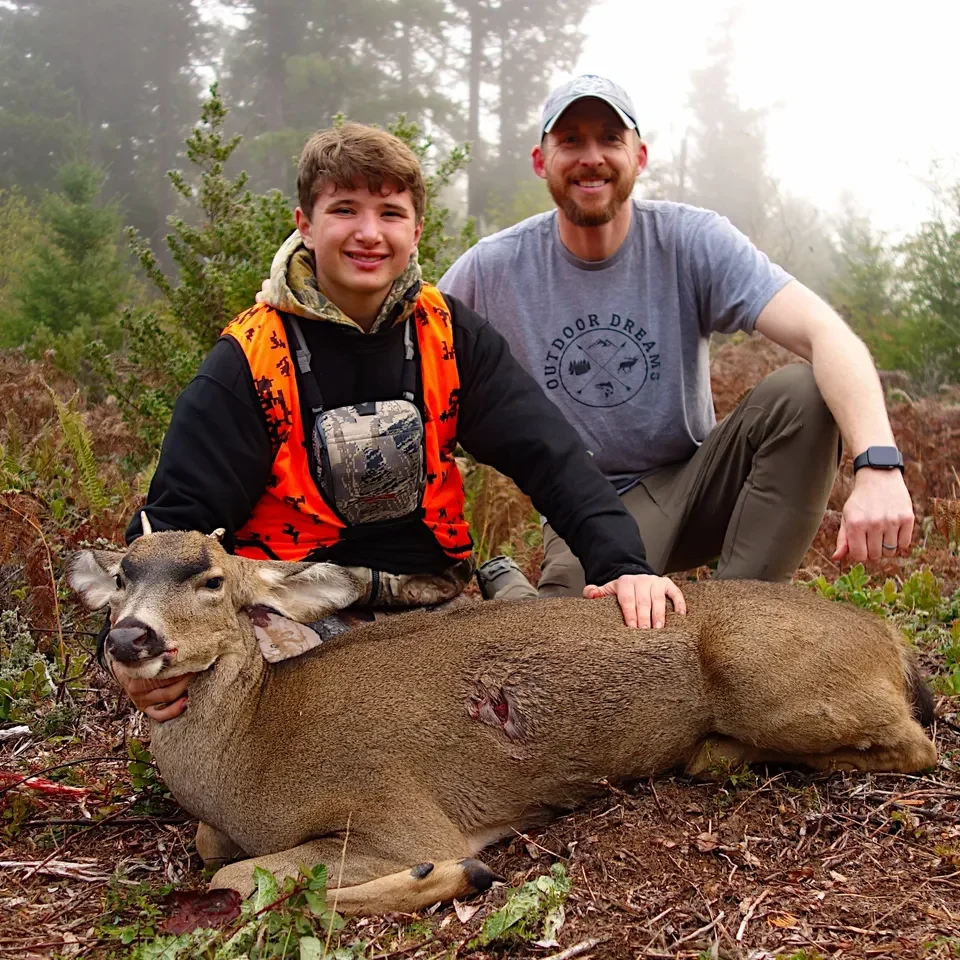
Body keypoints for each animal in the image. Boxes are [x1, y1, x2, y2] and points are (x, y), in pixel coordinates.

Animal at [68, 525, 937, 916]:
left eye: (211, 579)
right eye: (123, 576)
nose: (130, 638)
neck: (253, 754)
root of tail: (889, 637)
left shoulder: (395, 809)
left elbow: (243, 878)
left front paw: (452, 875)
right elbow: (213, 850)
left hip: (768, 679)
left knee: (918, 746)